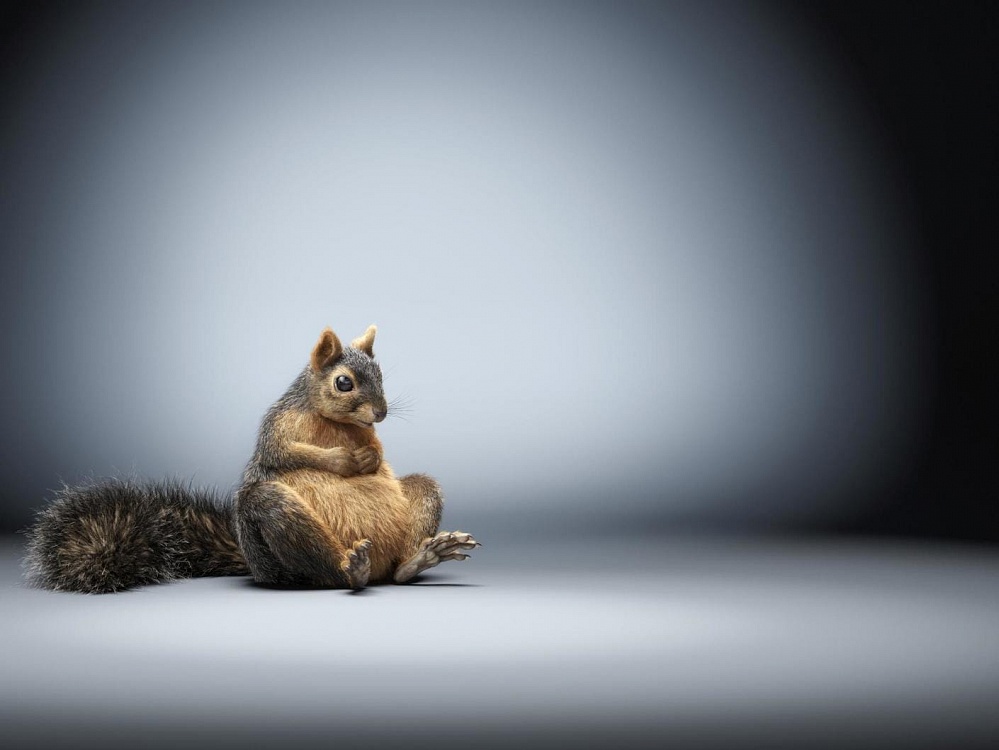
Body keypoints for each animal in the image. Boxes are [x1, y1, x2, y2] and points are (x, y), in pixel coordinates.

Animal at [22, 325, 479, 593]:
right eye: (343, 383)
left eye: (382, 375)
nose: (381, 413)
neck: (333, 421)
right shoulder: (274, 431)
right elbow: (286, 453)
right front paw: (348, 461)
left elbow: (380, 453)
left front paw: (369, 457)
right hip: (274, 517)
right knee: (325, 574)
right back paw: (353, 570)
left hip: (418, 504)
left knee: (398, 561)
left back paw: (417, 560)